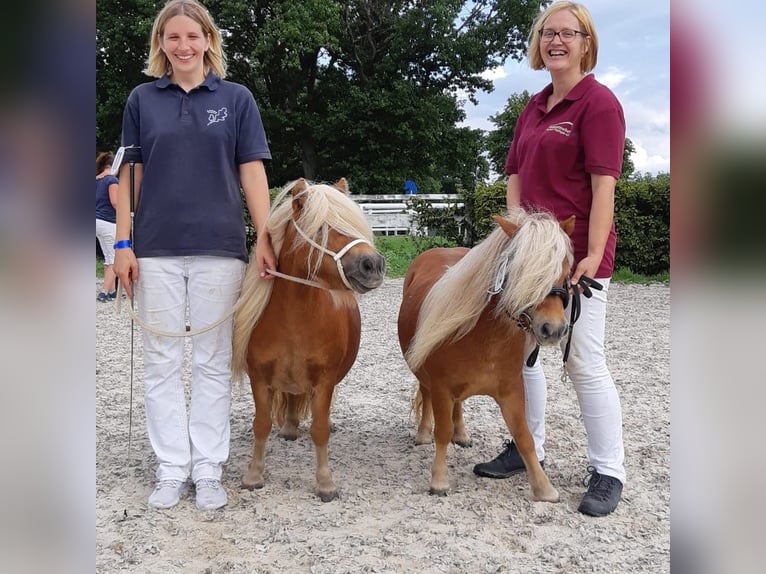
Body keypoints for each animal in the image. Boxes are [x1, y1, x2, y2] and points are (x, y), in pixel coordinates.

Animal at [231, 178, 388, 502]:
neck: (294, 320)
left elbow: (319, 430)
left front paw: (325, 482)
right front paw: (254, 475)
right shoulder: (259, 377)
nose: (373, 264)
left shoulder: (325, 380)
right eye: (321, 228)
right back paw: (290, 428)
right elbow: (261, 424)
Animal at [400, 209, 572, 502]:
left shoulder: (512, 390)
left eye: (567, 270)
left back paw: (462, 434)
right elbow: (442, 433)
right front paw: (439, 480)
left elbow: (524, 436)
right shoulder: (442, 388)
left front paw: (543, 487)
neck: (486, 338)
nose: (553, 329)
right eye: (519, 270)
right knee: (425, 392)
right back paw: (423, 434)